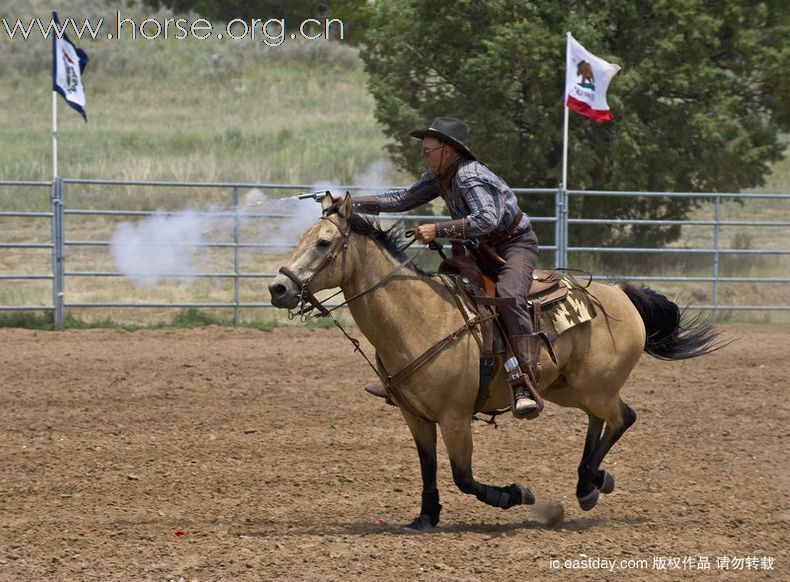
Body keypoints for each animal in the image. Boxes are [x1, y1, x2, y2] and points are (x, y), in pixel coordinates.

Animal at [268, 196, 724, 532]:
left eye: (324, 243)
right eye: (303, 236)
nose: (278, 287)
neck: (421, 316)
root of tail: (621, 294)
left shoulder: (455, 418)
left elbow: (464, 477)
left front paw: (516, 494)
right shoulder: (416, 418)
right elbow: (429, 468)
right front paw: (425, 517)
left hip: (595, 387)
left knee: (624, 417)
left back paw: (588, 484)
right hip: (569, 388)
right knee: (603, 420)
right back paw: (589, 482)